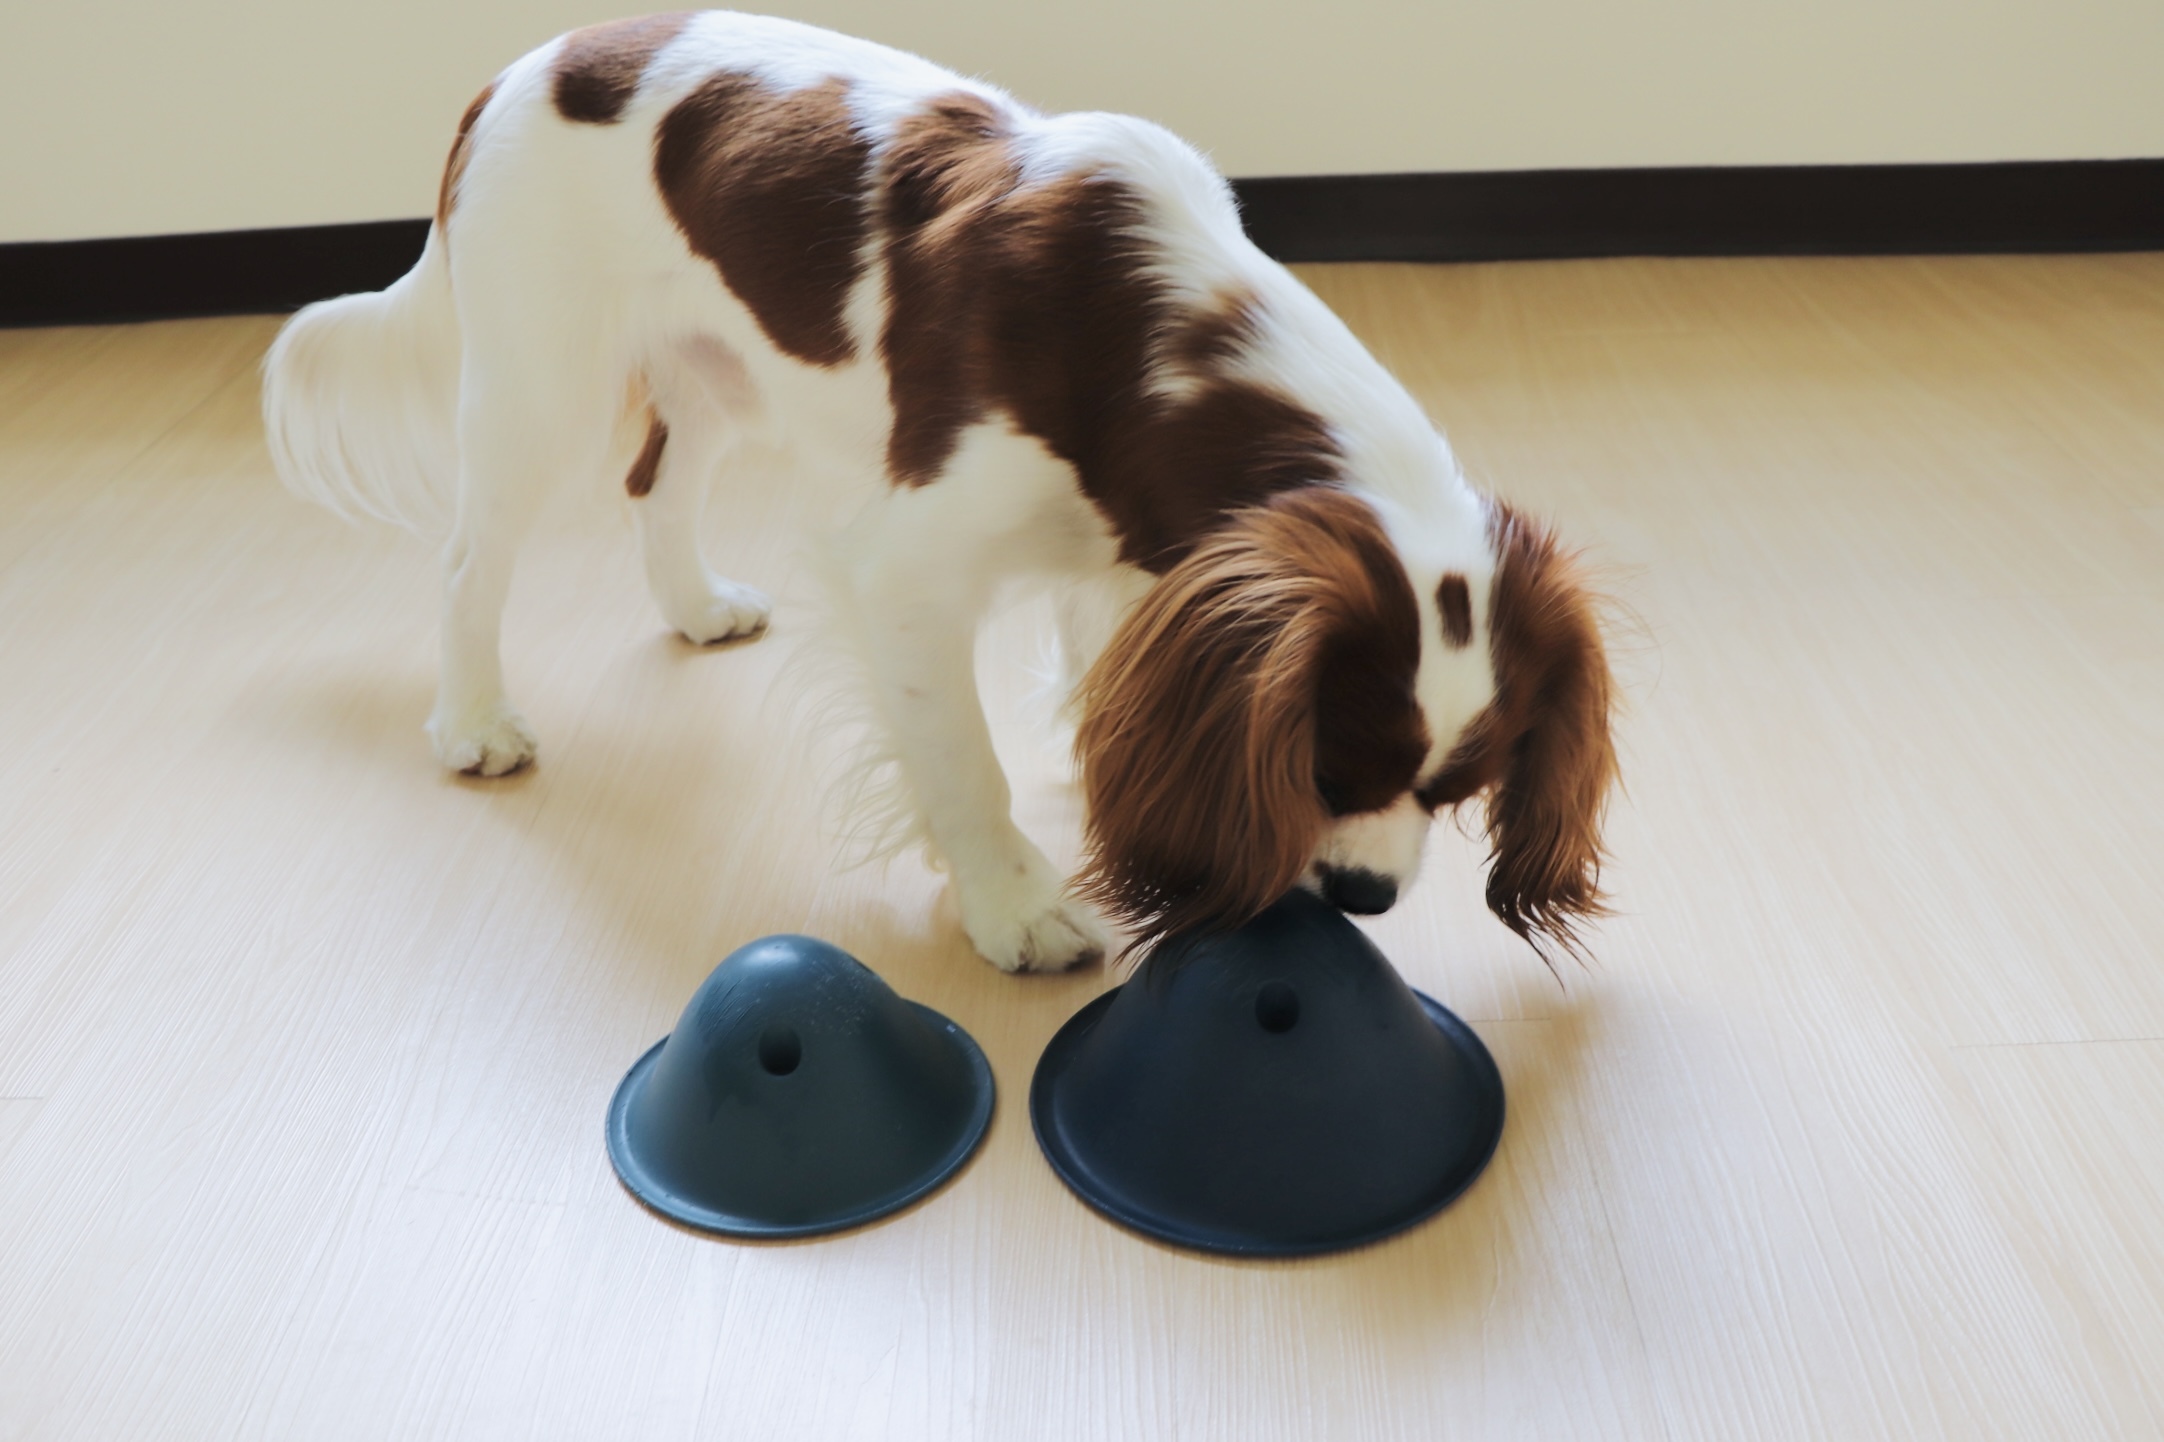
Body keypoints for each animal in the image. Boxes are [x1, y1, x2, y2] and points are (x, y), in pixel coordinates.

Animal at [263, 11, 1617, 973]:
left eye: (1460, 788)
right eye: (1330, 767)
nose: (1365, 895)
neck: (1147, 341)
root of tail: (519, 68)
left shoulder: (1134, 555)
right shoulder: (906, 570)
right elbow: (959, 757)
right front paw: (1015, 904)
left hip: (720, 369)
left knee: (659, 481)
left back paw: (694, 606)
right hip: (537, 382)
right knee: (469, 558)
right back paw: (474, 723)